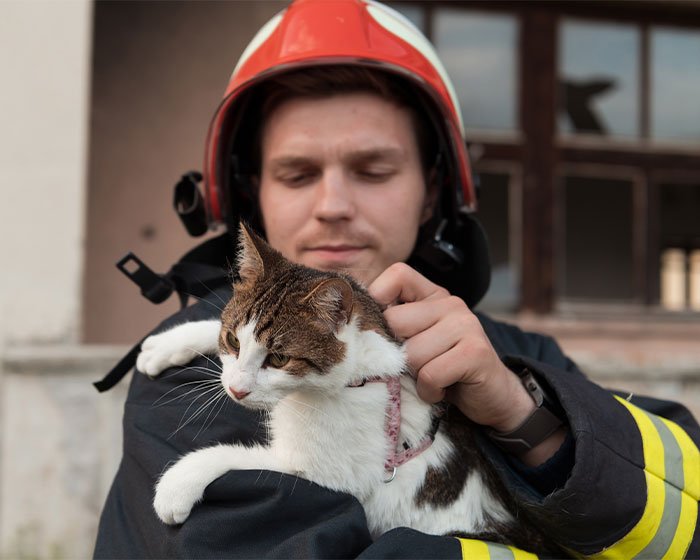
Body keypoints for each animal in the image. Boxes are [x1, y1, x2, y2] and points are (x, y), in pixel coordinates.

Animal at [137, 223, 548, 552]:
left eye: (279, 359)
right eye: (233, 341)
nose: (236, 390)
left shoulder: (330, 470)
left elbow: (240, 456)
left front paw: (179, 482)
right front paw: (170, 343)